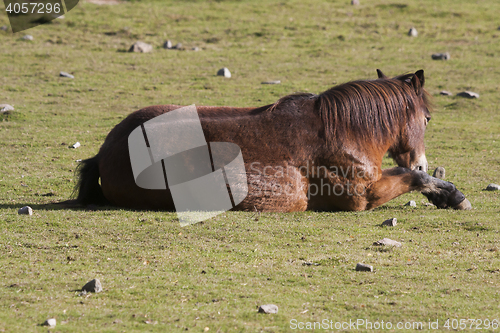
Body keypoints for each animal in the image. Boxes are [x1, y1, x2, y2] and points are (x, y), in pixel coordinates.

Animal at [70, 68, 472, 211]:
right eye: (427, 118)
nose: (420, 157)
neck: (344, 132)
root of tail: (106, 151)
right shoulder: (363, 196)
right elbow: (413, 178)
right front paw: (452, 195)